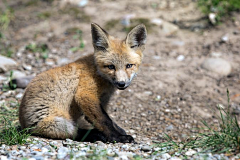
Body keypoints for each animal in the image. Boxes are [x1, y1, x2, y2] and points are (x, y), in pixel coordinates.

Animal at [18, 22, 146, 142]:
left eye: (129, 66)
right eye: (111, 67)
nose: (121, 83)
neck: (97, 72)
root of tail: (23, 123)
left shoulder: (102, 100)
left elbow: (106, 119)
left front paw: (118, 131)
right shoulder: (85, 95)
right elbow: (104, 121)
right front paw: (116, 137)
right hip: (59, 123)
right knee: (76, 133)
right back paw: (96, 135)